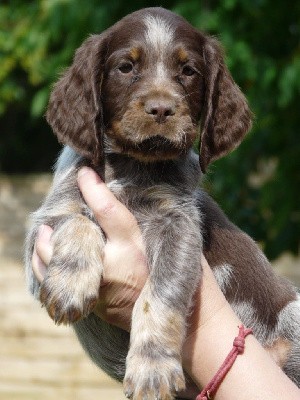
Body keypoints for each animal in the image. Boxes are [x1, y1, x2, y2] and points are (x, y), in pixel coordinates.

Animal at [24, 7, 298, 400]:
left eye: (189, 71)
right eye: (126, 67)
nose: (161, 109)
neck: (135, 167)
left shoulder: (179, 227)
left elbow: (159, 295)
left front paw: (152, 367)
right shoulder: (43, 229)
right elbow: (77, 220)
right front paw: (70, 283)